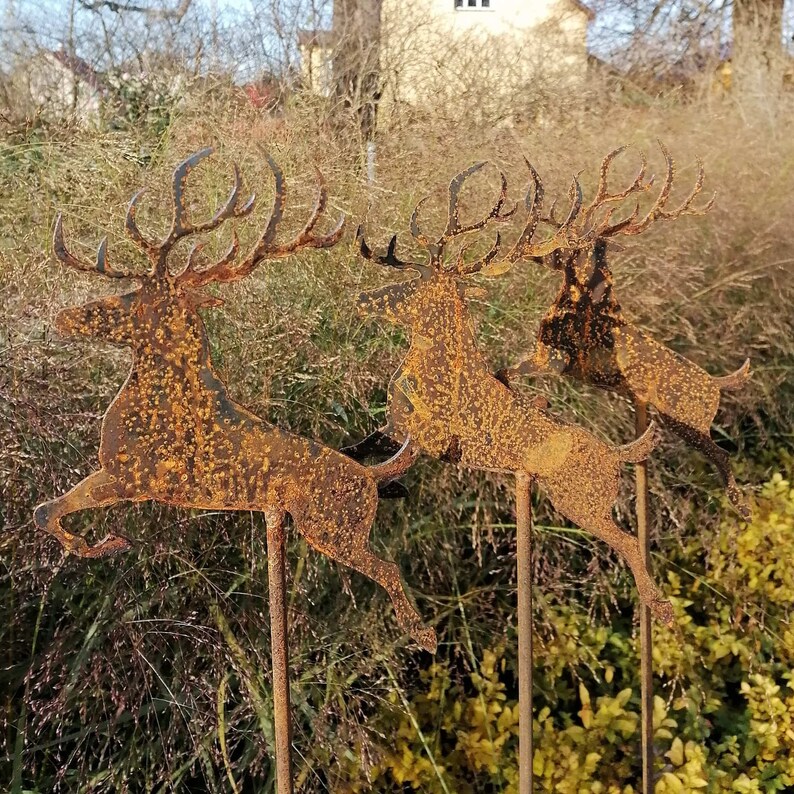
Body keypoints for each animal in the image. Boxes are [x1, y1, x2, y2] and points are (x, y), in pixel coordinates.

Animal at [33, 148, 437, 653]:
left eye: (132, 297)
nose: (65, 318)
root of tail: (370, 476)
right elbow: (46, 511)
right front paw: (105, 542)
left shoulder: (132, 479)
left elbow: (47, 511)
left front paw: (109, 543)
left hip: (334, 531)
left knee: (388, 568)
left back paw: (424, 635)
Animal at [342, 161, 675, 625]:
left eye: (411, 286)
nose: (361, 299)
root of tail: (616, 454)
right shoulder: (391, 427)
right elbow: (357, 450)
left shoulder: (426, 440)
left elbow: (381, 463)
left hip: (581, 504)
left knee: (628, 542)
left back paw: (660, 608)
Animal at [495, 144, 751, 518]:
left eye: (573, 244)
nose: (540, 255)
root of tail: (718, 385)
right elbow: (504, 371)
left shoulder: (555, 361)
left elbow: (508, 371)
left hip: (688, 421)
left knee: (722, 454)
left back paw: (741, 506)